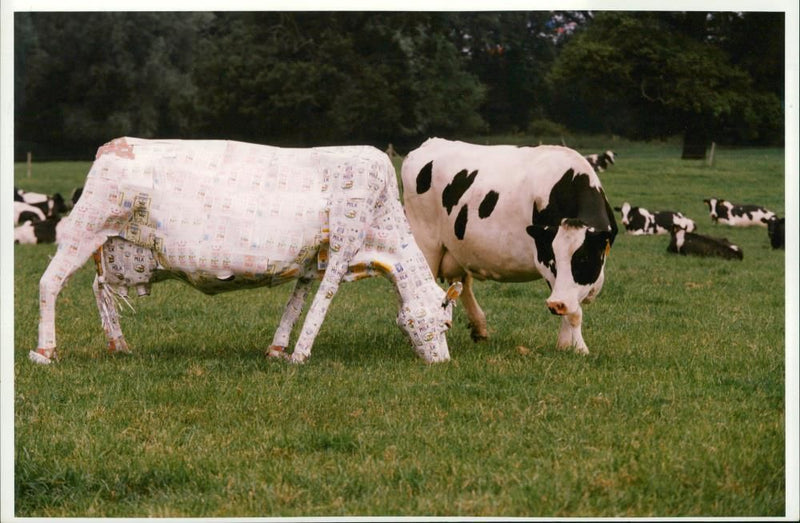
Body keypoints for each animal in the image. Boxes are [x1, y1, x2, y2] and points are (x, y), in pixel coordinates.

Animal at [31, 139, 460, 368]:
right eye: (446, 323)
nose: (443, 361)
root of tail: (115, 145)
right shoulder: (343, 243)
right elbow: (323, 301)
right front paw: (300, 356)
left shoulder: (313, 257)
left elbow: (297, 299)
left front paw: (277, 349)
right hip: (85, 225)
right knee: (51, 282)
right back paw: (45, 351)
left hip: (112, 246)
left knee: (98, 288)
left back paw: (118, 344)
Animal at [400, 138, 620, 356]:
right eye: (554, 259)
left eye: (584, 258)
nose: (555, 304)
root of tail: (429, 143)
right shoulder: (543, 260)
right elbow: (574, 311)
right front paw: (578, 348)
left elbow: (572, 303)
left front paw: (566, 345)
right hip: (425, 243)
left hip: (459, 250)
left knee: (463, 285)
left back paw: (480, 329)